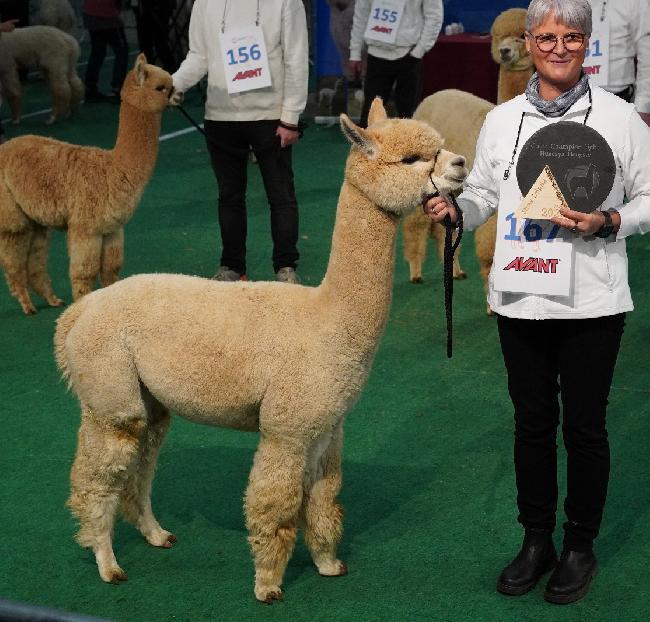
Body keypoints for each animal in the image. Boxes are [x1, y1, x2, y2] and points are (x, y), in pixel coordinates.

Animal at [0, 54, 173, 314]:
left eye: (171, 84)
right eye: (160, 88)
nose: (178, 96)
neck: (115, 167)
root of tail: (5, 146)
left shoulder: (111, 229)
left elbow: (111, 271)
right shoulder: (86, 227)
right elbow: (85, 272)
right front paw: (82, 305)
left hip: (35, 218)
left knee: (35, 258)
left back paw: (52, 299)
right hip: (11, 213)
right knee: (13, 259)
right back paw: (27, 305)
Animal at [53, 98, 468, 603]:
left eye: (438, 147)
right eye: (411, 159)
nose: (460, 164)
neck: (328, 318)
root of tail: (81, 311)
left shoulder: (326, 427)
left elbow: (324, 498)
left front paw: (328, 564)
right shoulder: (285, 429)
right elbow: (276, 506)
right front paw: (268, 584)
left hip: (146, 400)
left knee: (141, 465)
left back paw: (156, 535)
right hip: (109, 395)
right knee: (96, 478)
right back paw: (107, 562)